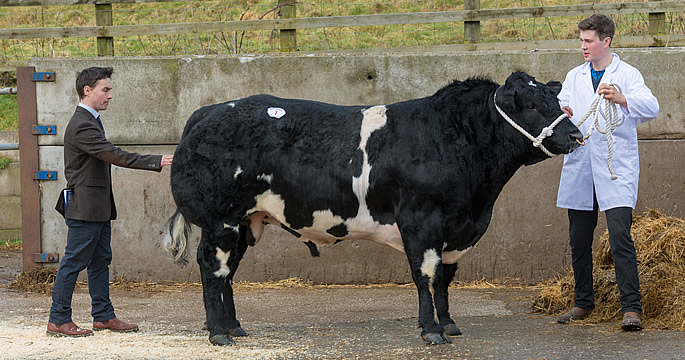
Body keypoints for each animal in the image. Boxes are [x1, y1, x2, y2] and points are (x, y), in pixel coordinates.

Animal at [163, 71, 580, 344]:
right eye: (531, 105)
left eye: (557, 101)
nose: (576, 135)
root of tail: (206, 113)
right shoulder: (421, 222)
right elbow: (426, 276)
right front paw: (430, 331)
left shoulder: (457, 230)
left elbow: (445, 279)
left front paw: (448, 323)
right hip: (221, 221)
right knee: (212, 270)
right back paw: (219, 333)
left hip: (245, 222)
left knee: (227, 274)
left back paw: (234, 326)